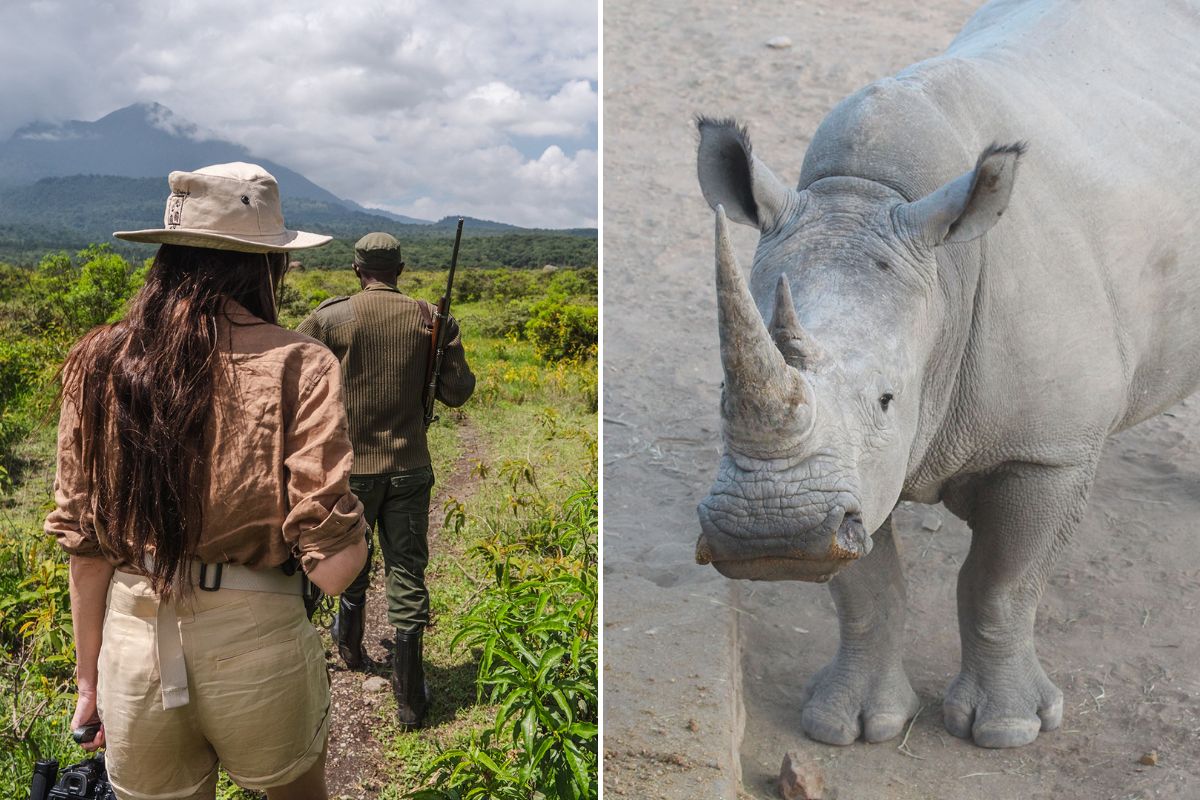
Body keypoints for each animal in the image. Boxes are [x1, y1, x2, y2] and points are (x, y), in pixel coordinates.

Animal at [693, 0, 1200, 749]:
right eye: (724, 394)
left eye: (886, 397)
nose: (770, 534)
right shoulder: (853, 478)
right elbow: (869, 587)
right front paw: (852, 726)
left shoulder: (1047, 450)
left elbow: (999, 586)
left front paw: (1008, 730)